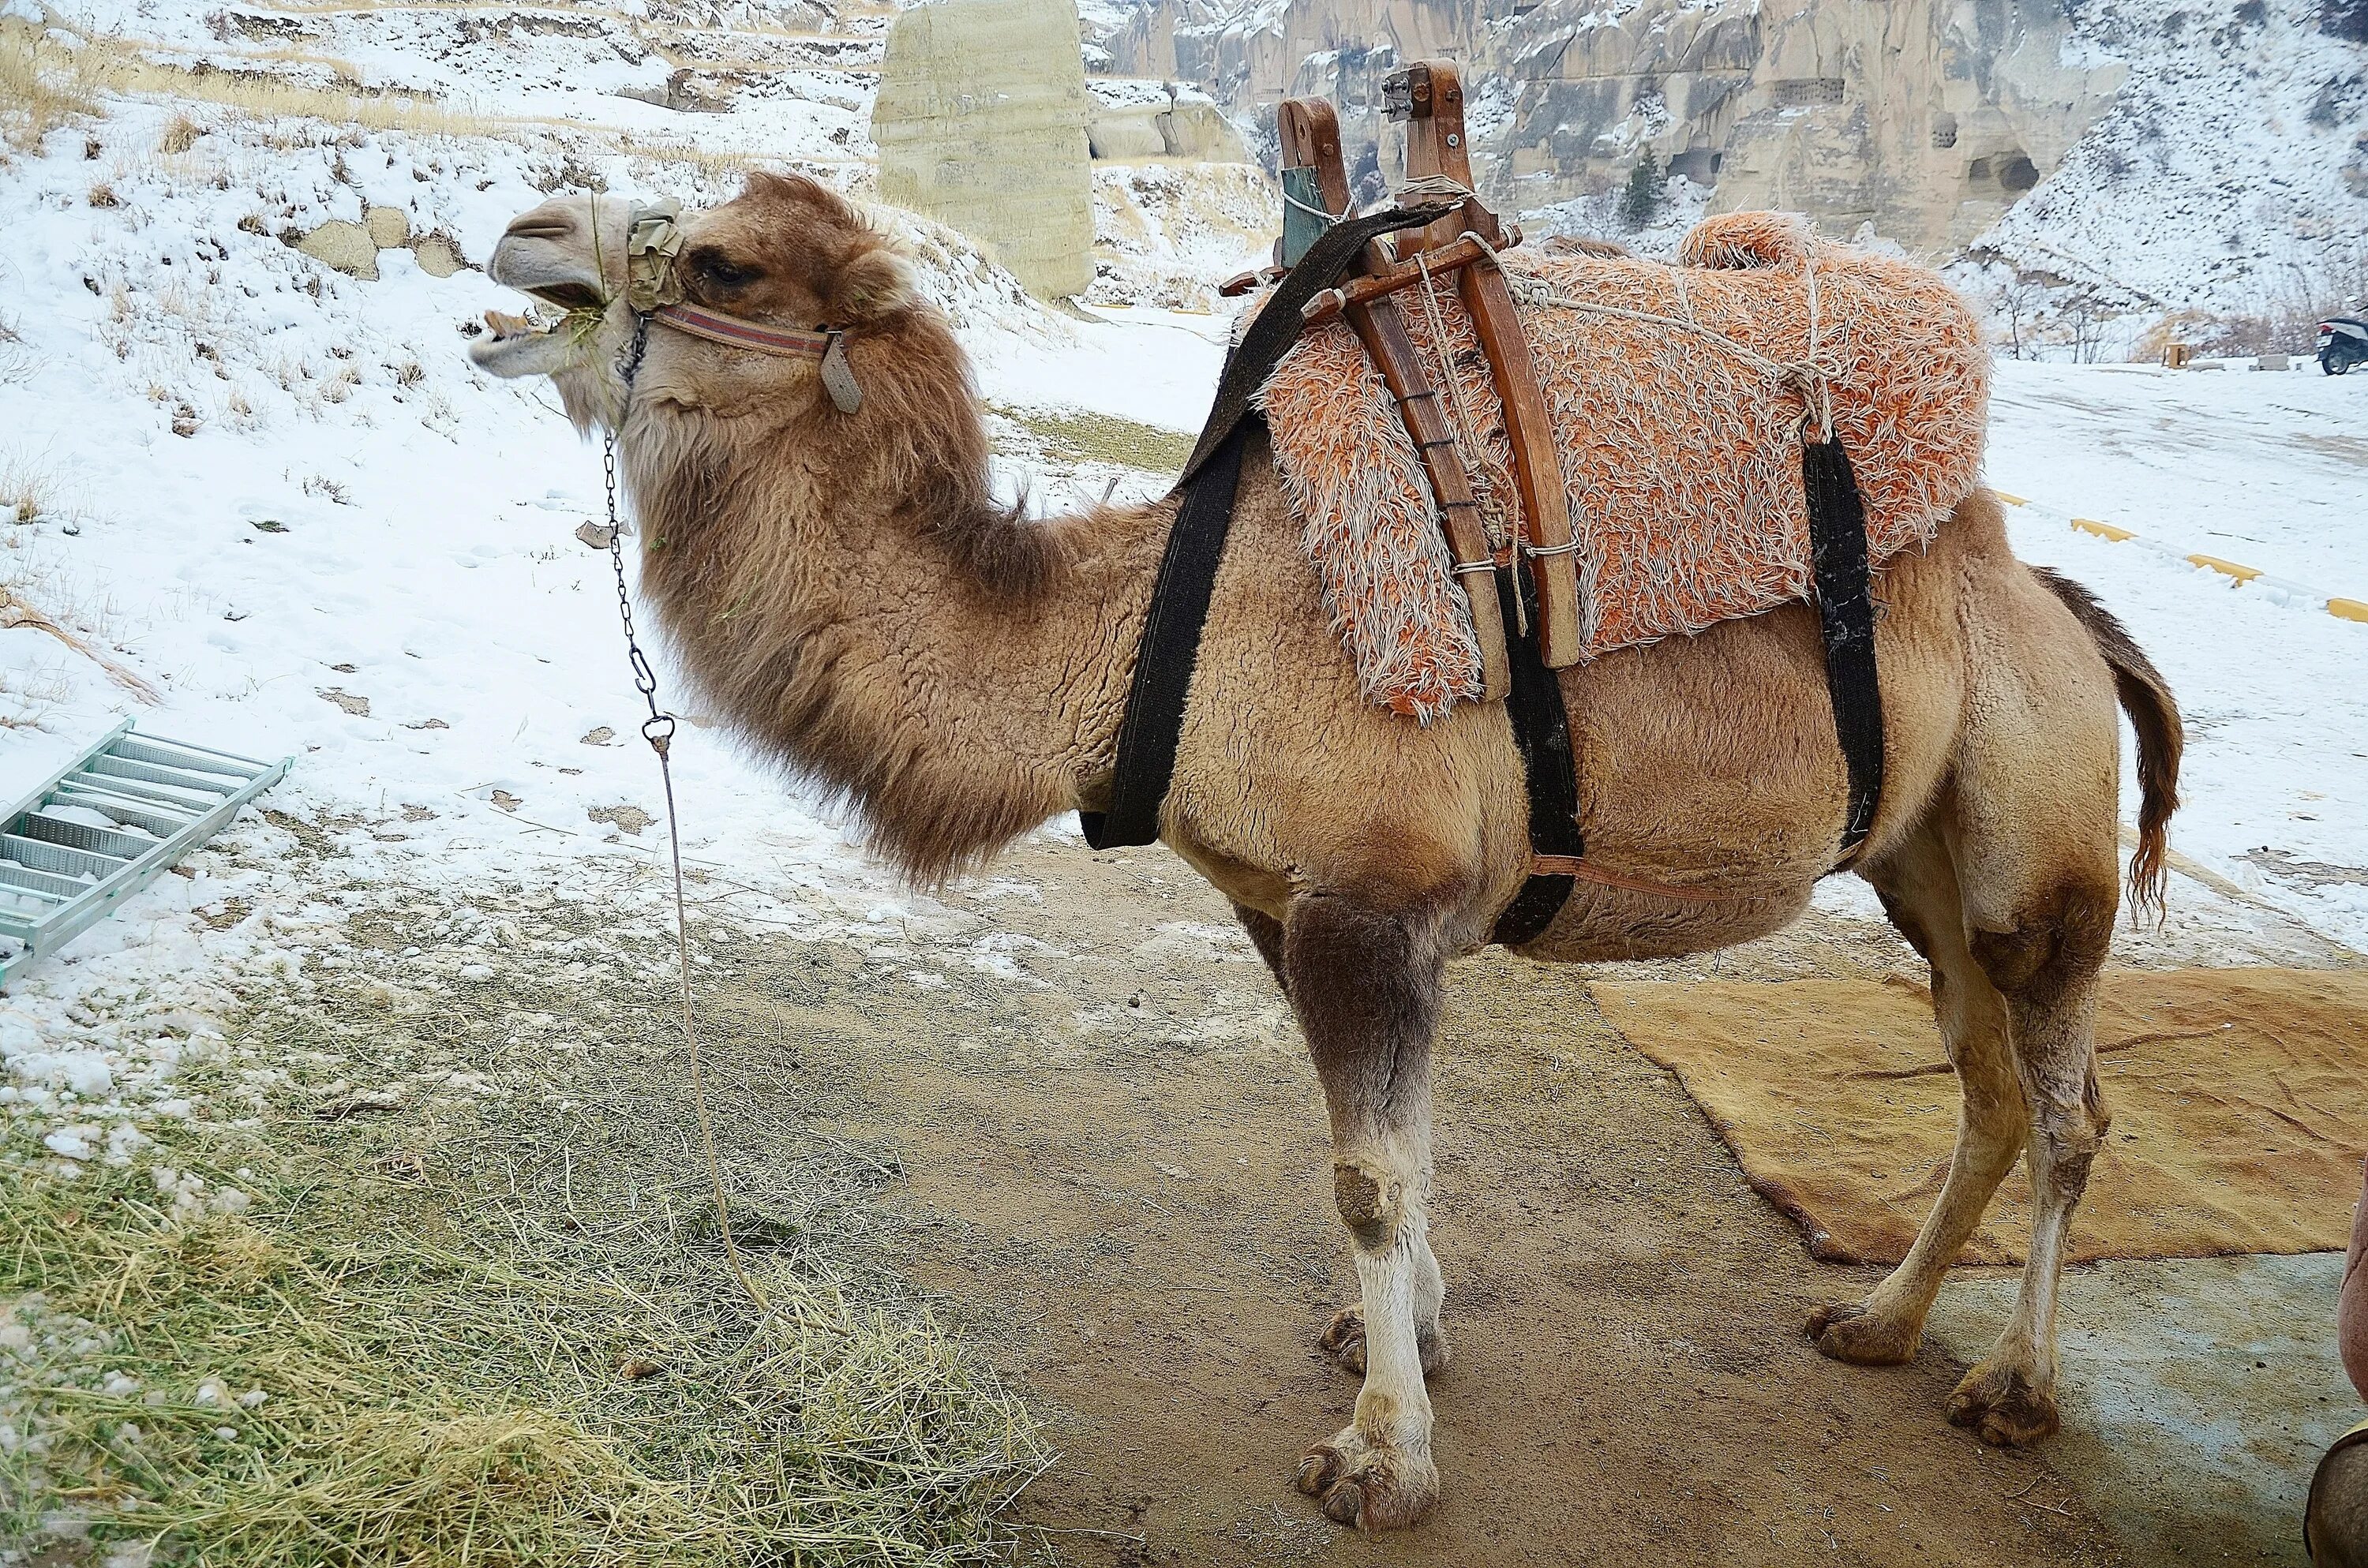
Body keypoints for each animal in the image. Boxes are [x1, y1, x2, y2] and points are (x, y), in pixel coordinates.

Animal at [471, 175, 2188, 1534]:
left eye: (721, 265)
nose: (522, 234)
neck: (1149, 636)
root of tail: (2055, 605)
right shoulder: (1278, 901)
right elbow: (1384, 1158)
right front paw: (1402, 1345)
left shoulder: (1372, 904)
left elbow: (1368, 1177)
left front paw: (1381, 1459)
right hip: (1918, 862)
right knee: (1986, 1087)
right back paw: (1878, 1328)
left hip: (2035, 852)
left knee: (2071, 1109)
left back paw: (2012, 1389)